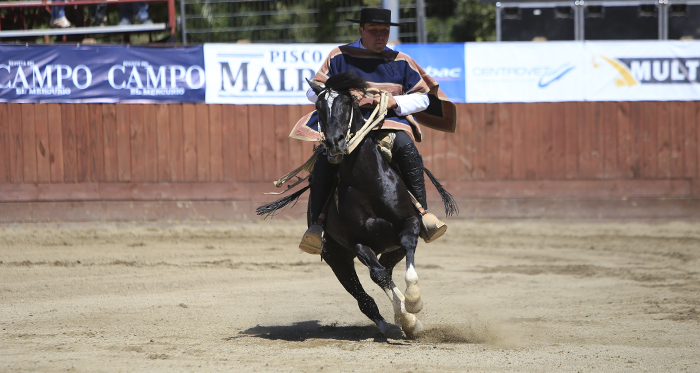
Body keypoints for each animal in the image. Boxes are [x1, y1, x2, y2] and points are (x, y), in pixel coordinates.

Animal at [260, 71, 456, 338]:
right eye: (318, 107)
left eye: (347, 104)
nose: (335, 142)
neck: (367, 181)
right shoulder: (356, 242)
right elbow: (378, 275)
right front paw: (408, 317)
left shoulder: (409, 223)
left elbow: (406, 254)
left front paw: (413, 300)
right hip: (336, 256)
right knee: (366, 292)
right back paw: (394, 324)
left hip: (390, 248)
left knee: (389, 268)